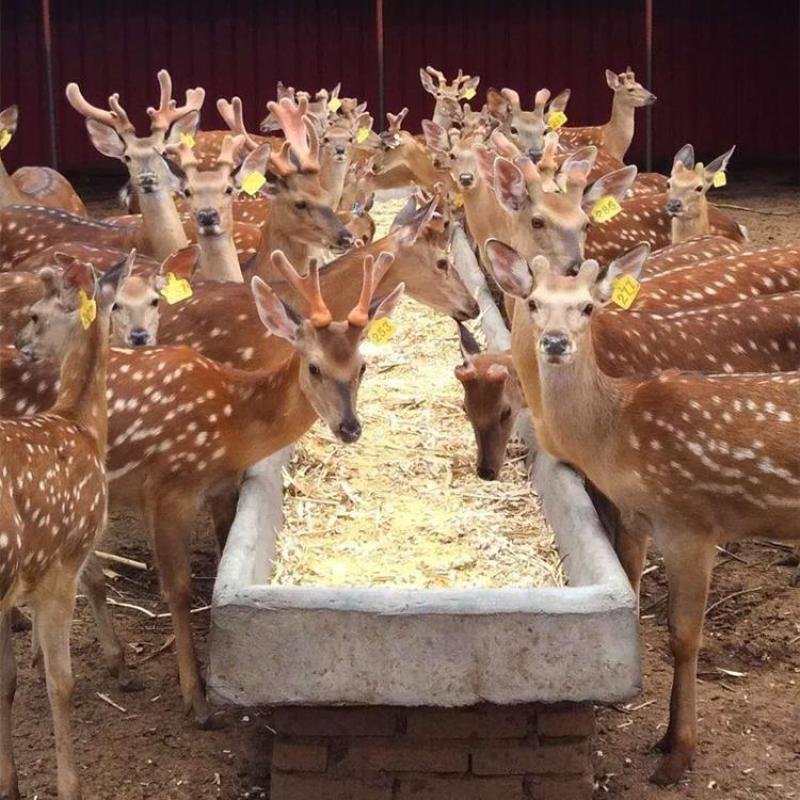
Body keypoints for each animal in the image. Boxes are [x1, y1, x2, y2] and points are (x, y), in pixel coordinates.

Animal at [1, 251, 405, 727]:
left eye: (362, 366)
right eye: (314, 366)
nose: (349, 427)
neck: (233, 422)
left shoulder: (217, 489)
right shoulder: (167, 487)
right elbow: (177, 588)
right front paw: (196, 698)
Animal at [483, 245, 800, 786]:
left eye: (588, 307)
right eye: (533, 302)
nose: (555, 342)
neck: (616, 434)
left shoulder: (692, 521)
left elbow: (684, 637)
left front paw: (676, 754)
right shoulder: (637, 518)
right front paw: (667, 740)